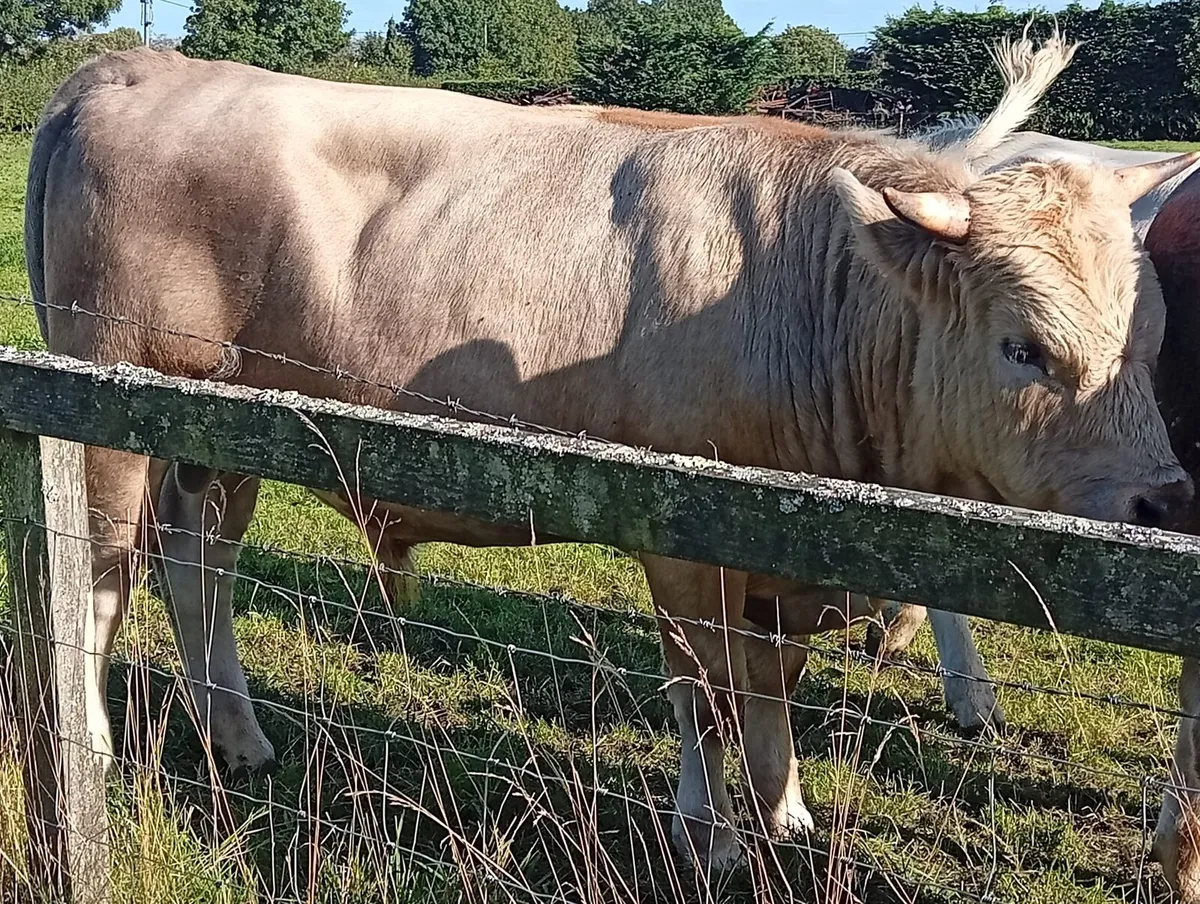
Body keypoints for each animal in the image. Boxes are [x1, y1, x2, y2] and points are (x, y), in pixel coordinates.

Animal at [24, 31, 1198, 870]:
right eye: (1024, 346)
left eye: (1152, 337)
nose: (1164, 504)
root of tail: (136, 65)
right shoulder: (681, 536)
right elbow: (706, 690)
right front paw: (715, 835)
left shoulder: (779, 552)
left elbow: (770, 682)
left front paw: (785, 810)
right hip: (103, 409)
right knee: (100, 574)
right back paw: (89, 743)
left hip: (220, 430)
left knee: (198, 569)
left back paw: (238, 735)